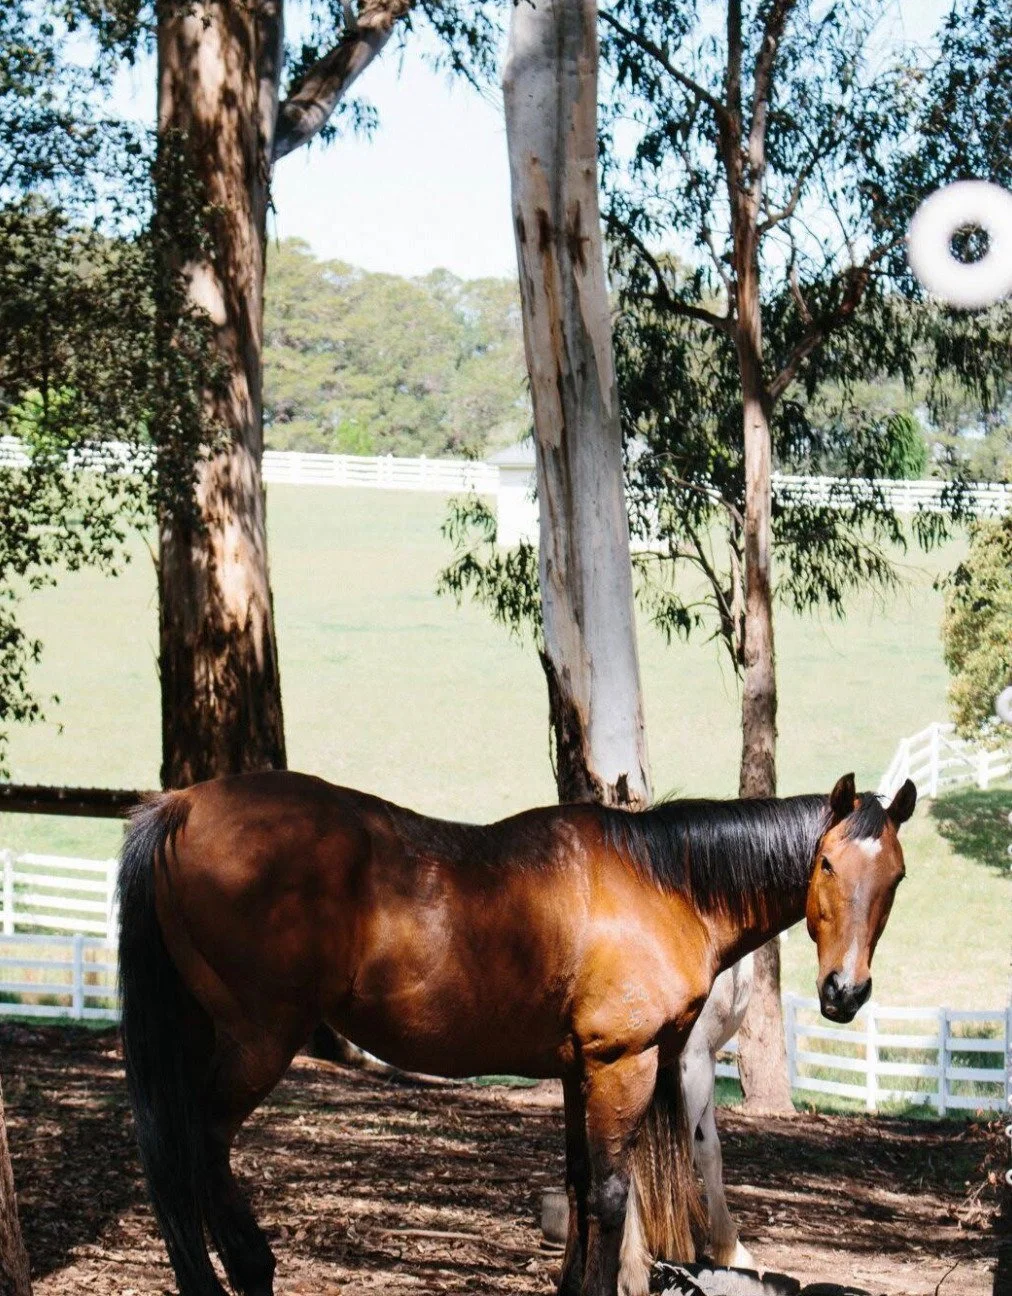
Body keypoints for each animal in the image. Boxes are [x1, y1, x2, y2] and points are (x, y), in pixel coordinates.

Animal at [117, 769, 916, 1296]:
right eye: (826, 863)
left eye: (897, 878)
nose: (845, 993)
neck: (665, 882)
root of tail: (184, 804)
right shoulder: (622, 1064)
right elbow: (610, 1196)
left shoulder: (577, 1072)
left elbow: (579, 1185)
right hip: (258, 1040)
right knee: (195, 1142)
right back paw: (247, 1268)